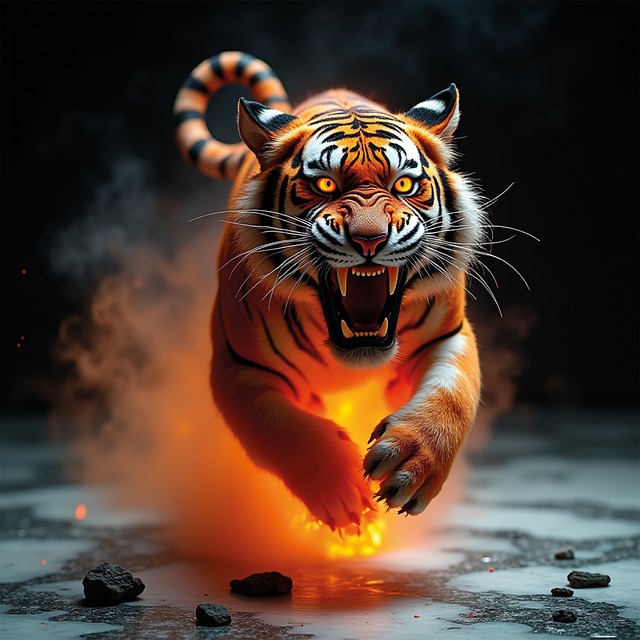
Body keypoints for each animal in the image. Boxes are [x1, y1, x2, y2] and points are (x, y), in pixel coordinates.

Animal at [174, 51, 484, 531]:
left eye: (403, 185)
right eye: (324, 185)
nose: (370, 239)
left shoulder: (450, 336)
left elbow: (452, 396)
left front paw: (410, 462)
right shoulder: (236, 366)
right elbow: (277, 428)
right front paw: (338, 488)